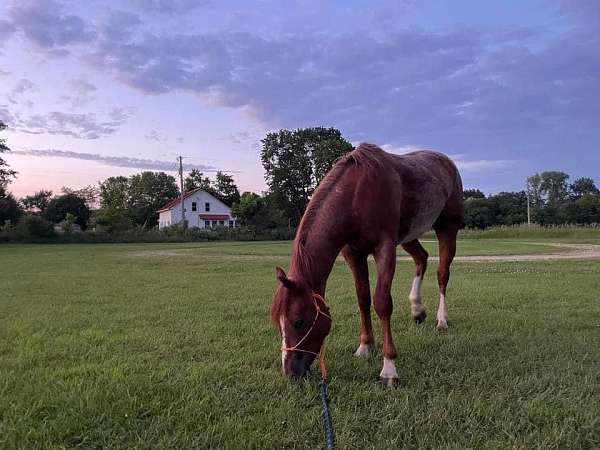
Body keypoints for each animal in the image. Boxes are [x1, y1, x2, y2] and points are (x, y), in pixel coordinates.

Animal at [272, 142, 464, 384]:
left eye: (299, 321)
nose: (290, 373)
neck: (357, 193)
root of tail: (447, 163)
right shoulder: (353, 253)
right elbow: (363, 298)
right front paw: (365, 346)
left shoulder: (385, 248)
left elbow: (382, 303)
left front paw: (389, 368)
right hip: (408, 237)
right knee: (422, 258)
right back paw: (417, 309)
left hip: (447, 229)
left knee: (442, 274)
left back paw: (442, 319)